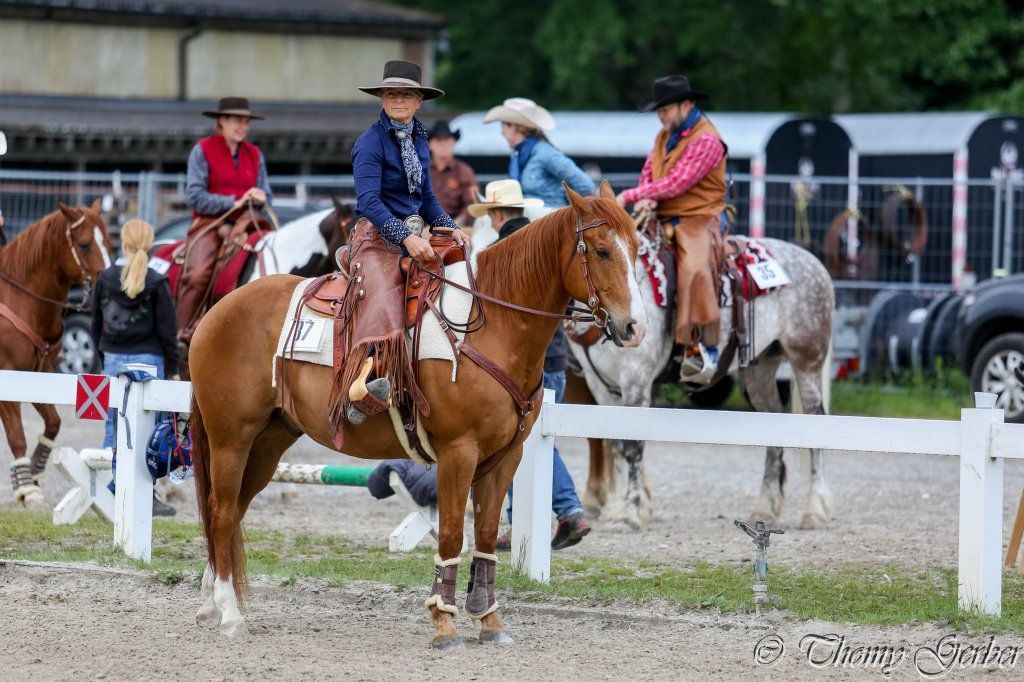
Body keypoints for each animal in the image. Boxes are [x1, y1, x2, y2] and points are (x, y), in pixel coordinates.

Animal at [0, 201, 112, 506]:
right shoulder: (8, 375)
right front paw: (28, 489)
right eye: (84, 245)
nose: (111, 285)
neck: (20, 300)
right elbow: (16, 436)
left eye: (109, 242)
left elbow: (54, 422)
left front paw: (34, 468)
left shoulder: (41, 375)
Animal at [186, 183, 647, 646]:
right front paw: (444, 621)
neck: (492, 325)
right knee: (221, 510)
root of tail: (216, 312)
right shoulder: (459, 453)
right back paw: (229, 612)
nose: (635, 328)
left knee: (231, 510)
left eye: (638, 248)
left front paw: (489, 620)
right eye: (602, 250)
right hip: (231, 439)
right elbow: (450, 535)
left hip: (269, 442)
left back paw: (209, 601)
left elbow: (484, 533)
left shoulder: (505, 457)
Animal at [570, 236, 834, 532]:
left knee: (816, 422)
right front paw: (614, 509)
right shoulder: (600, 385)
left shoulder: (636, 380)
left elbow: (633, 447)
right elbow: (614, 444)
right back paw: (764, 509)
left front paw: (630, 514)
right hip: (761, 369)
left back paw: (815, 510)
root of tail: (813, 261)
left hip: (807, 360)